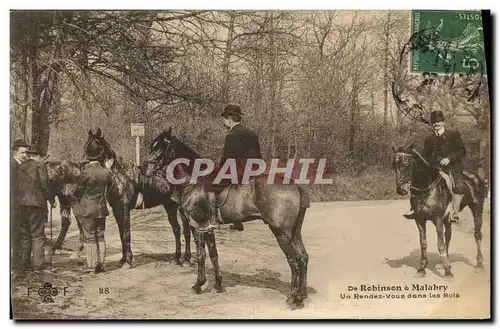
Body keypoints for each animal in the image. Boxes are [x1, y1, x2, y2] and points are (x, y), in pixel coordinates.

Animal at [143, 127, 310, 308]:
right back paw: (302, 295)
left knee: (293, 260)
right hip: (295, 232)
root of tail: (295, 185)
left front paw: (198, 284)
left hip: (281, 232)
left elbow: (201, 255)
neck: (193, 181)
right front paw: (218, 284)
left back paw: (293, 297)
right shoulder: (208, 228)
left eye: (158, 148)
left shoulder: (198, 226)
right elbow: (213, 254)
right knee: (303, 257)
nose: (143, 168)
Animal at [392, 142, 486, 278]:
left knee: (477, 234)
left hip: (477, 208)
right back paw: (445, 261)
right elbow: (423, 243)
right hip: (448, 218)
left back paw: (479, 265)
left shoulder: (438, 219)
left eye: (407, 163)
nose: (401, 190)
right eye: (394, 164)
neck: (427, 188)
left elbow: (440, 244)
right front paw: (422, 269)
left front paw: (448, 272)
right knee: (448, 235)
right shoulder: (419, 220)